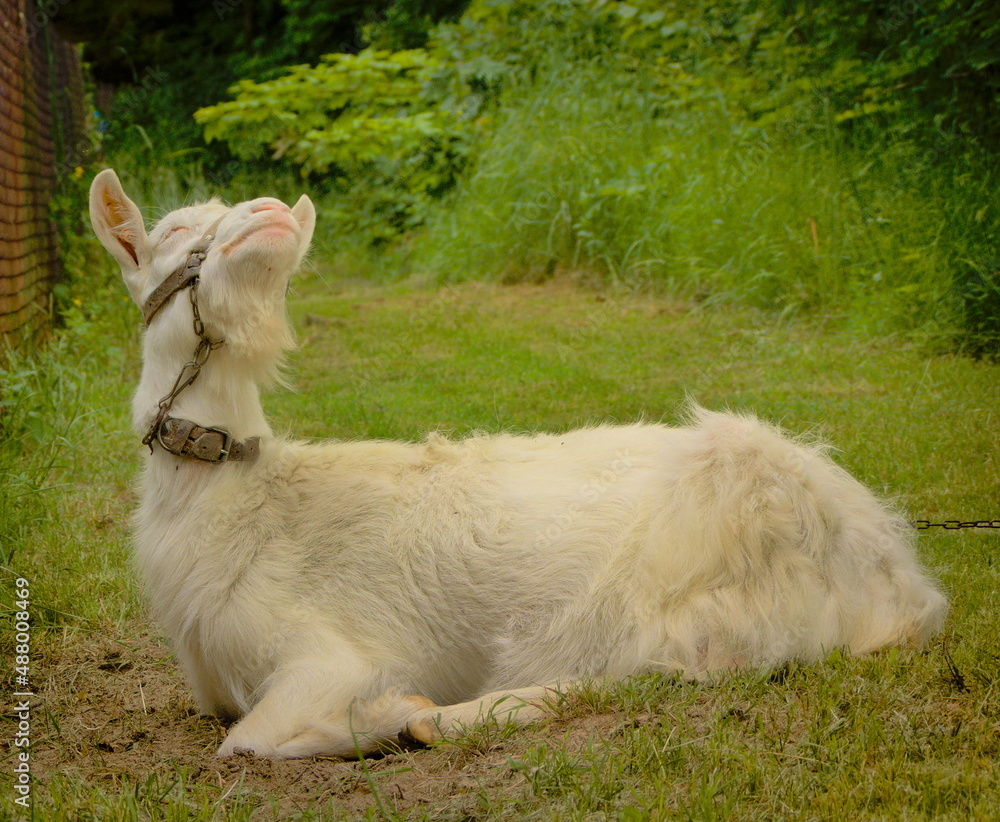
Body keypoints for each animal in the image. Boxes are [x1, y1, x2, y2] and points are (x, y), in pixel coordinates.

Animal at [89, 168, 947, 759]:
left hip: (692, 575)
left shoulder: (329, 654)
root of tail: (898, 575)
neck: (242, 506)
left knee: (672, 667)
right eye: (173, 226)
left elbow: (250, 741)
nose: (269, 212)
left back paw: (452, 717)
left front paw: (390, 714)